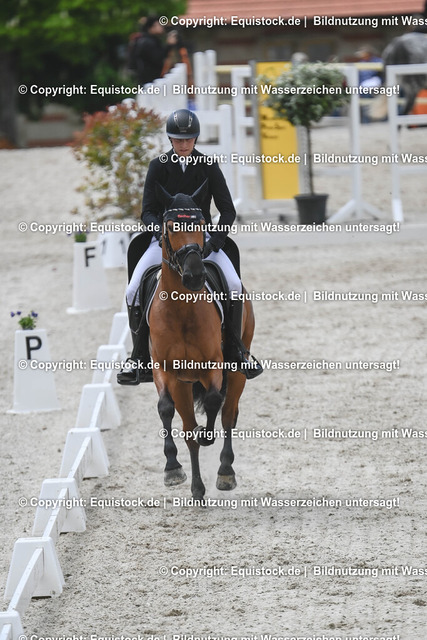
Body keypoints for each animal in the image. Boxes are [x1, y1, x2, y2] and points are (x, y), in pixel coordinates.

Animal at [146, 181, 256, 501]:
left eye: (201, 225)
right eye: (171, 226)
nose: (195, 276)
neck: (181, 309)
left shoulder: (214, 365)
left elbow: (213, 401)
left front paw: (207, 436)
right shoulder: (166, 370)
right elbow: (166, 409)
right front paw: (172, 469)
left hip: (237, 367)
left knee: (228, 414)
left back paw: (225, 472)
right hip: (183, 383)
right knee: (186, 427)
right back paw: (196, 487)